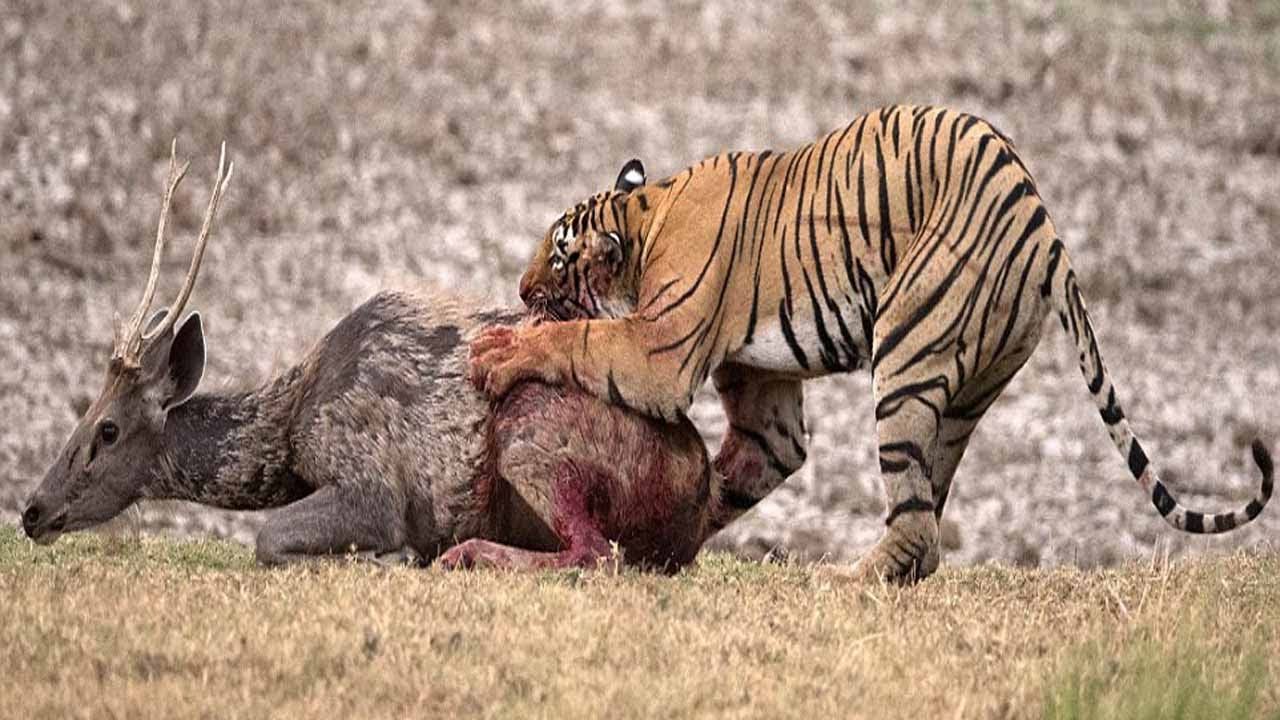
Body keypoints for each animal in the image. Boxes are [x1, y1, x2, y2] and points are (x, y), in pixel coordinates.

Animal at [20, 144, 727, 571]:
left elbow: (268, 538)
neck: (291, 430)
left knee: (594, 553)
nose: (30, 511)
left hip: (531, 429)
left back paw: (462, 556)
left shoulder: (371, 481)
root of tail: (702, 485)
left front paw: (373, 558)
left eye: (107, 429)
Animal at [468, 102, 1269, 584]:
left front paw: (500, 353)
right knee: (927, 518)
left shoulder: (657, 351)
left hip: (907, 354)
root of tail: (1048, 233)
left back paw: (842, 580)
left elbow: (579, 337)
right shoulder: (768, 409)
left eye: (558, 259)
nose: (519, 287)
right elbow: (739, 474)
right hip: (967, 390)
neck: (645, 214)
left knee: (918, 527)